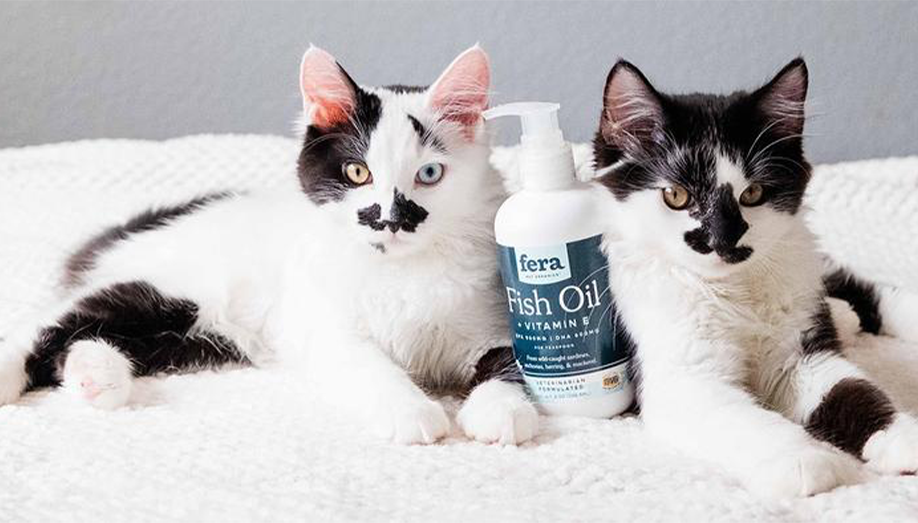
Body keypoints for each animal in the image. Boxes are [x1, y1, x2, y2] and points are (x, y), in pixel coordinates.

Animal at [0, 45, 540, 446]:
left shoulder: (493, 315)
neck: (403, 271)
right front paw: (411, 411)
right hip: (166, 287)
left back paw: (96, 377)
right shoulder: (321, 326)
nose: (389, 221)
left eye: (429, 174)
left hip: (190, 334)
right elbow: (369, 365)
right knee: (50, 323)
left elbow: (513, 363)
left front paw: (501, 411)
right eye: (356, 172)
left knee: (83, 339)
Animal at [592, 59, 918, 498]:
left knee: (864, 290)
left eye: (753, 194)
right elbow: (744, 420)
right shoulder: (681, 377)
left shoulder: (800, 354)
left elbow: (853, 391)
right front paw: (803, 459)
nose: (722, 239)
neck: (731, 291)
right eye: (677, 196)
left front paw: (904, 438)